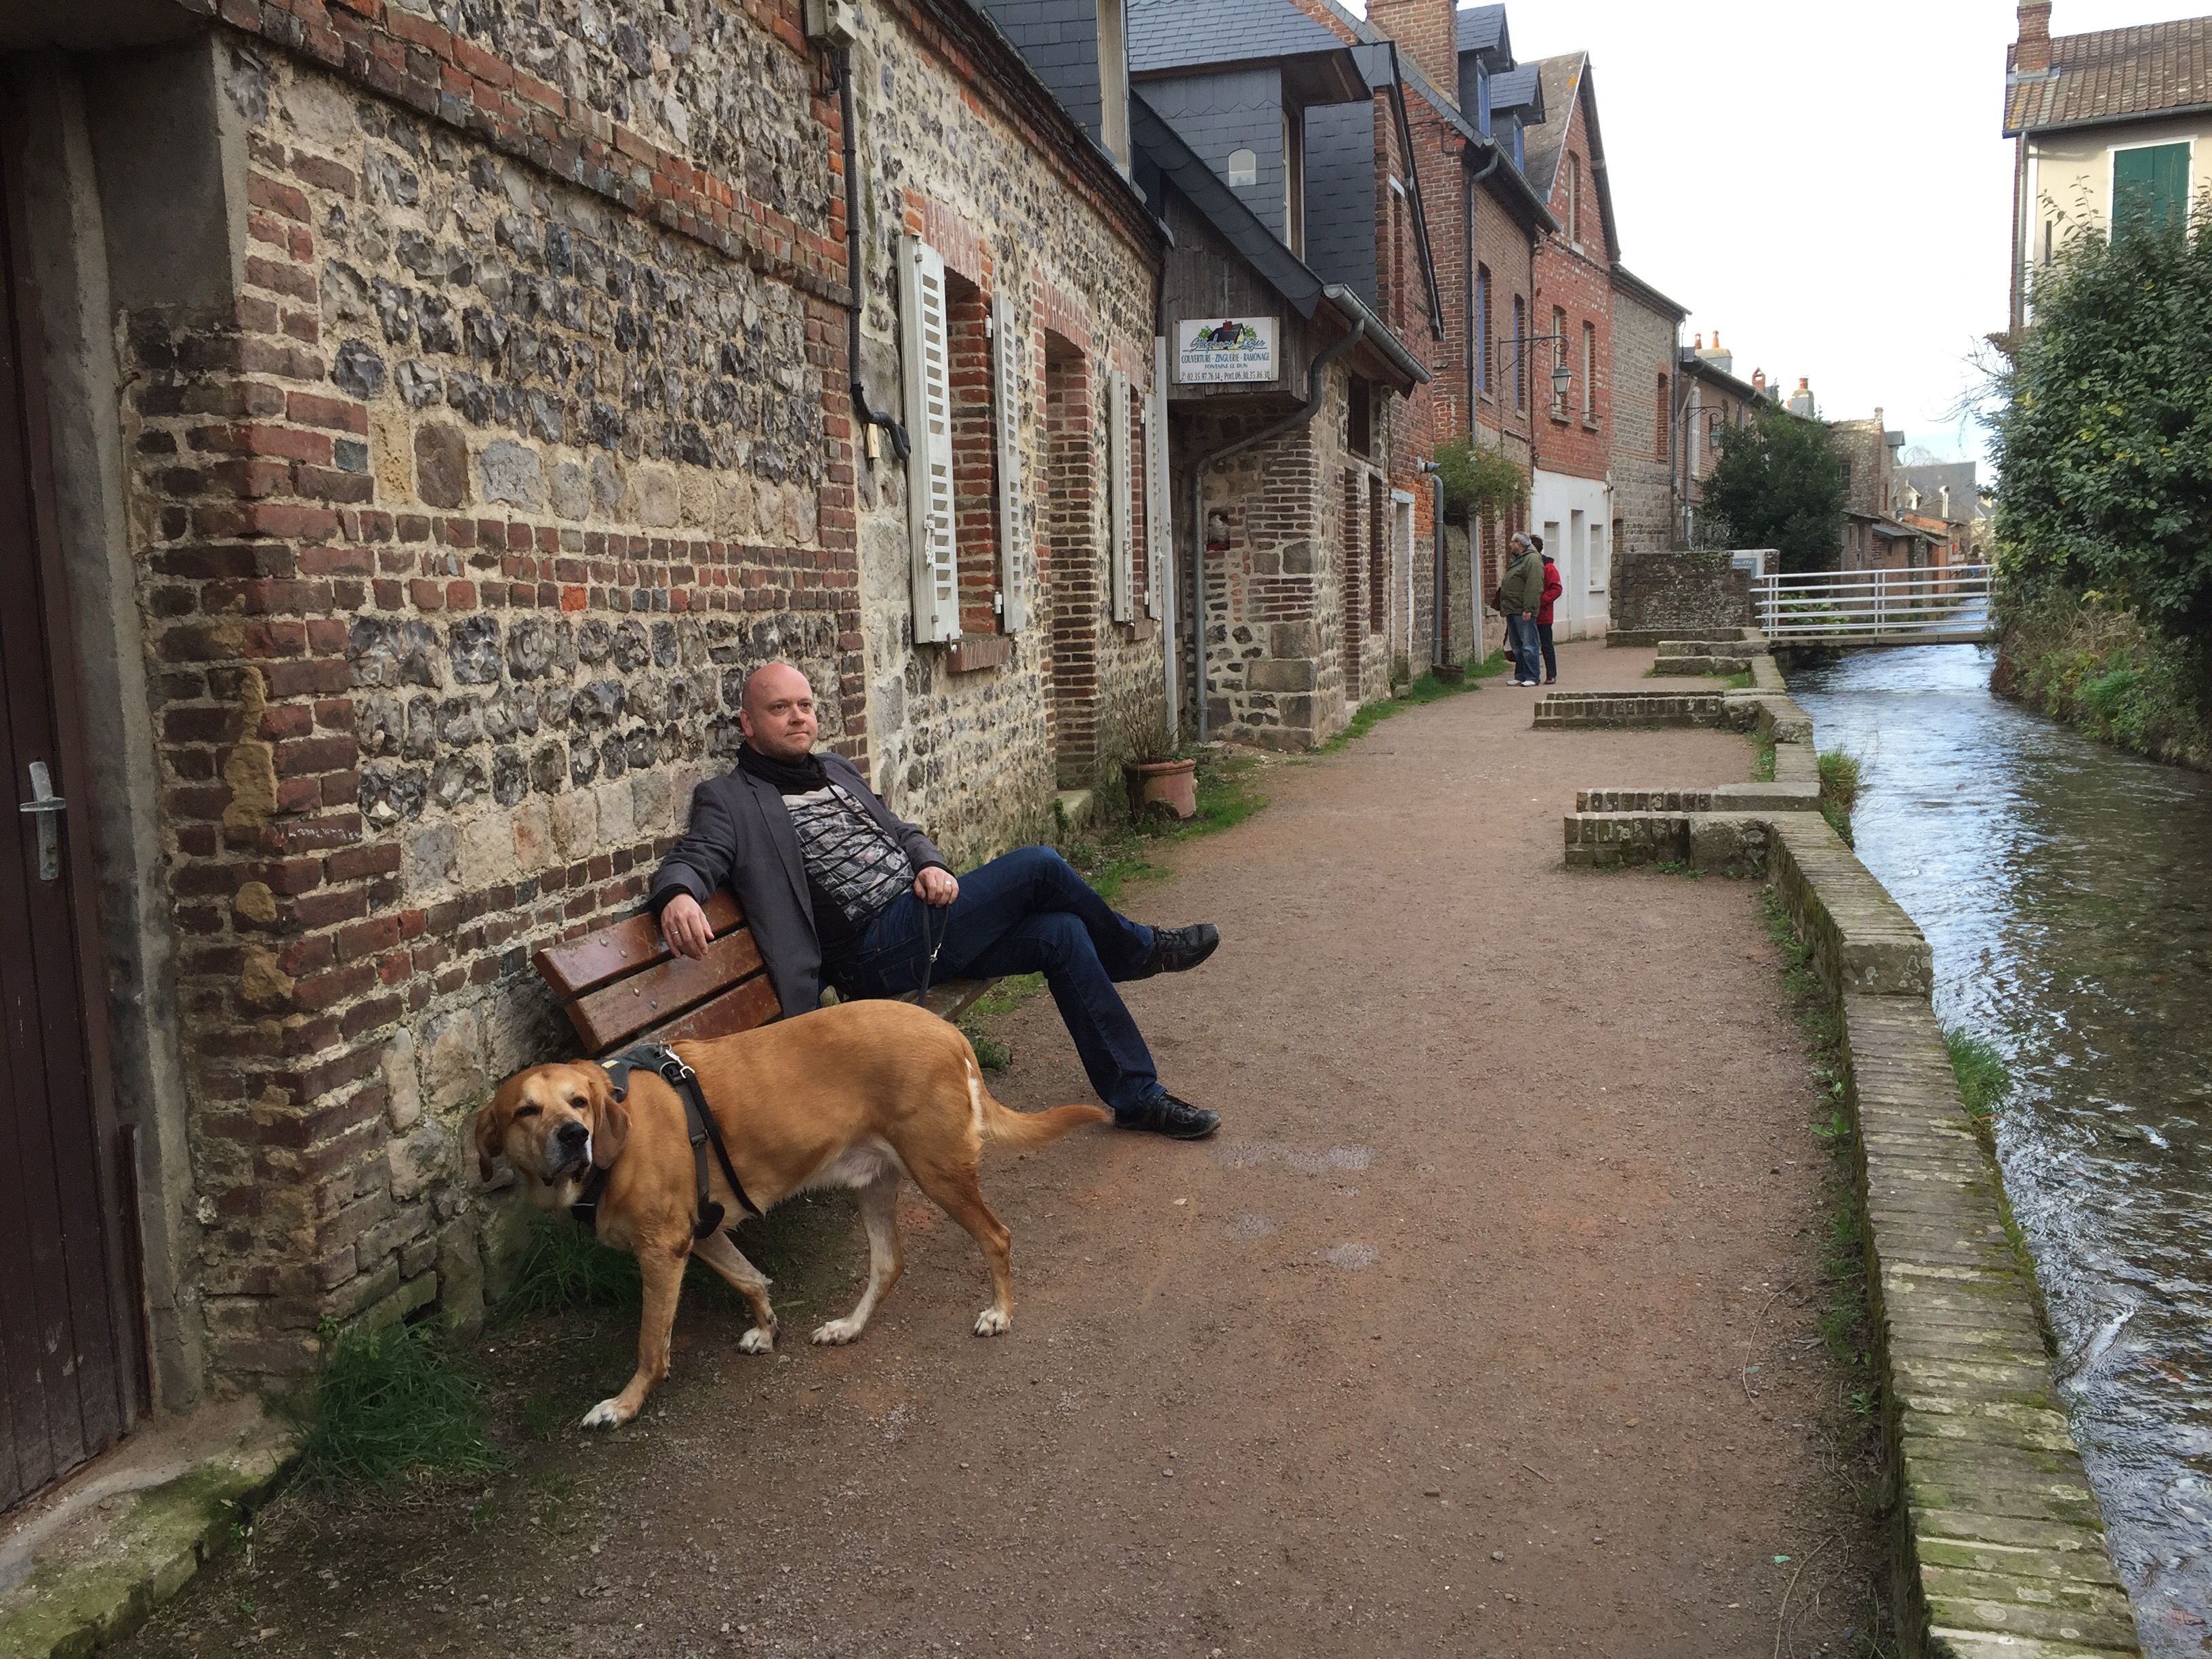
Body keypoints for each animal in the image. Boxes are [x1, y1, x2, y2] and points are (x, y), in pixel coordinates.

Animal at [474, 997, 1108, 1428]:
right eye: (526, 1111)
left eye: (577, 1102)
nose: (574, 1135)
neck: (616, 1133)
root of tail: (949, 1030)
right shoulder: (701, 1235)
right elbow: (748, 1278)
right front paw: (765, 1326)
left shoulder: (663, 1250)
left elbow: (652, 1346)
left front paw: (624, 1405)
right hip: (875, 1183)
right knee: (889, 1264)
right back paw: (849, 1326)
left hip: (941, 1173)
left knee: (996, 1237)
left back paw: (1000, 1313)